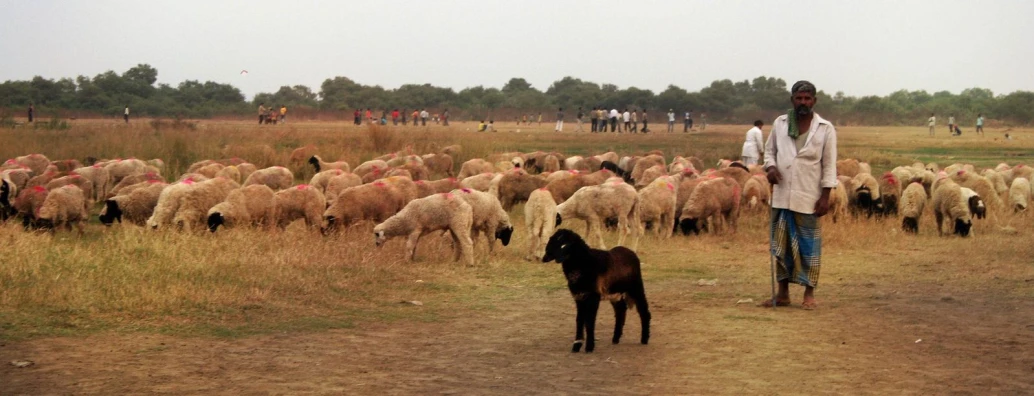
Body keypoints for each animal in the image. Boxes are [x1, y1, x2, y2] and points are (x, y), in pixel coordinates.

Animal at [537, 227, 649, 355]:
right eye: (554, 242)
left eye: (566, 244)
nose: (546, 258)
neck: (583, 264)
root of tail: (631, 252)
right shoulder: (579, 297)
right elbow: (579, 320)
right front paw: (576, 345)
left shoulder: (593, 297)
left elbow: (589, 321)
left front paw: (589, 347)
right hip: (615, 293)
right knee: (621, 311)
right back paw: (615, 339)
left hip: (636, 287)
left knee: (644, 311)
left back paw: (644, 339)